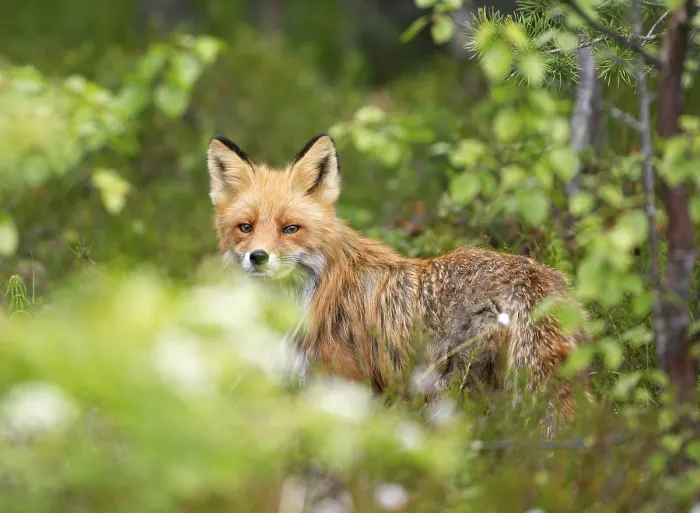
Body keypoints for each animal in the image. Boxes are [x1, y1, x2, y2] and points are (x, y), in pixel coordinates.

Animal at [206, 132, 586, 435]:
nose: (258, 257)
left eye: (290, 229)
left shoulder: (342, 383)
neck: (313, 288)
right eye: (245, 227)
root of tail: (537, 280)